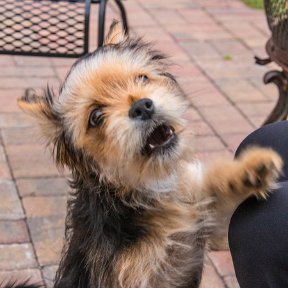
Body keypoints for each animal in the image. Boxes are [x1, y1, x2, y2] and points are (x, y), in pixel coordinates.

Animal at [14, 22, 282, 288]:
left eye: (142, 78)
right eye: (96, 117)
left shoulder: (213, 230)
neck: (153, 188)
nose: (143, 106)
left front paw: (249, 171)